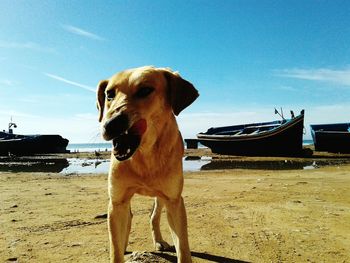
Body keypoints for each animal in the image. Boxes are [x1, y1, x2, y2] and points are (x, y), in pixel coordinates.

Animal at [97, 66, 198, 263]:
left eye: (145, 90)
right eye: (109, 94)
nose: (110, 125)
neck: (144, 155)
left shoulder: (174, 201)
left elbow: (183, 247)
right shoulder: (117, 201)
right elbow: (115, 248)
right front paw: (119, 247)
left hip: (161, 197)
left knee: (154, 216)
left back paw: (159, 240)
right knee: (129, 218)